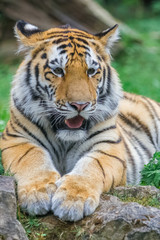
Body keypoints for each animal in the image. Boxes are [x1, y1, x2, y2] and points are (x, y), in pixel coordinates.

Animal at [0, 19, 159, 222]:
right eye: (58, 71)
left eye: (91, 71)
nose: (80, 105)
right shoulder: (16, 139)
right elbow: (32, 158)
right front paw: (37, 194)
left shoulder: (108, 147)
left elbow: (91, 167)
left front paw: (72, 201)